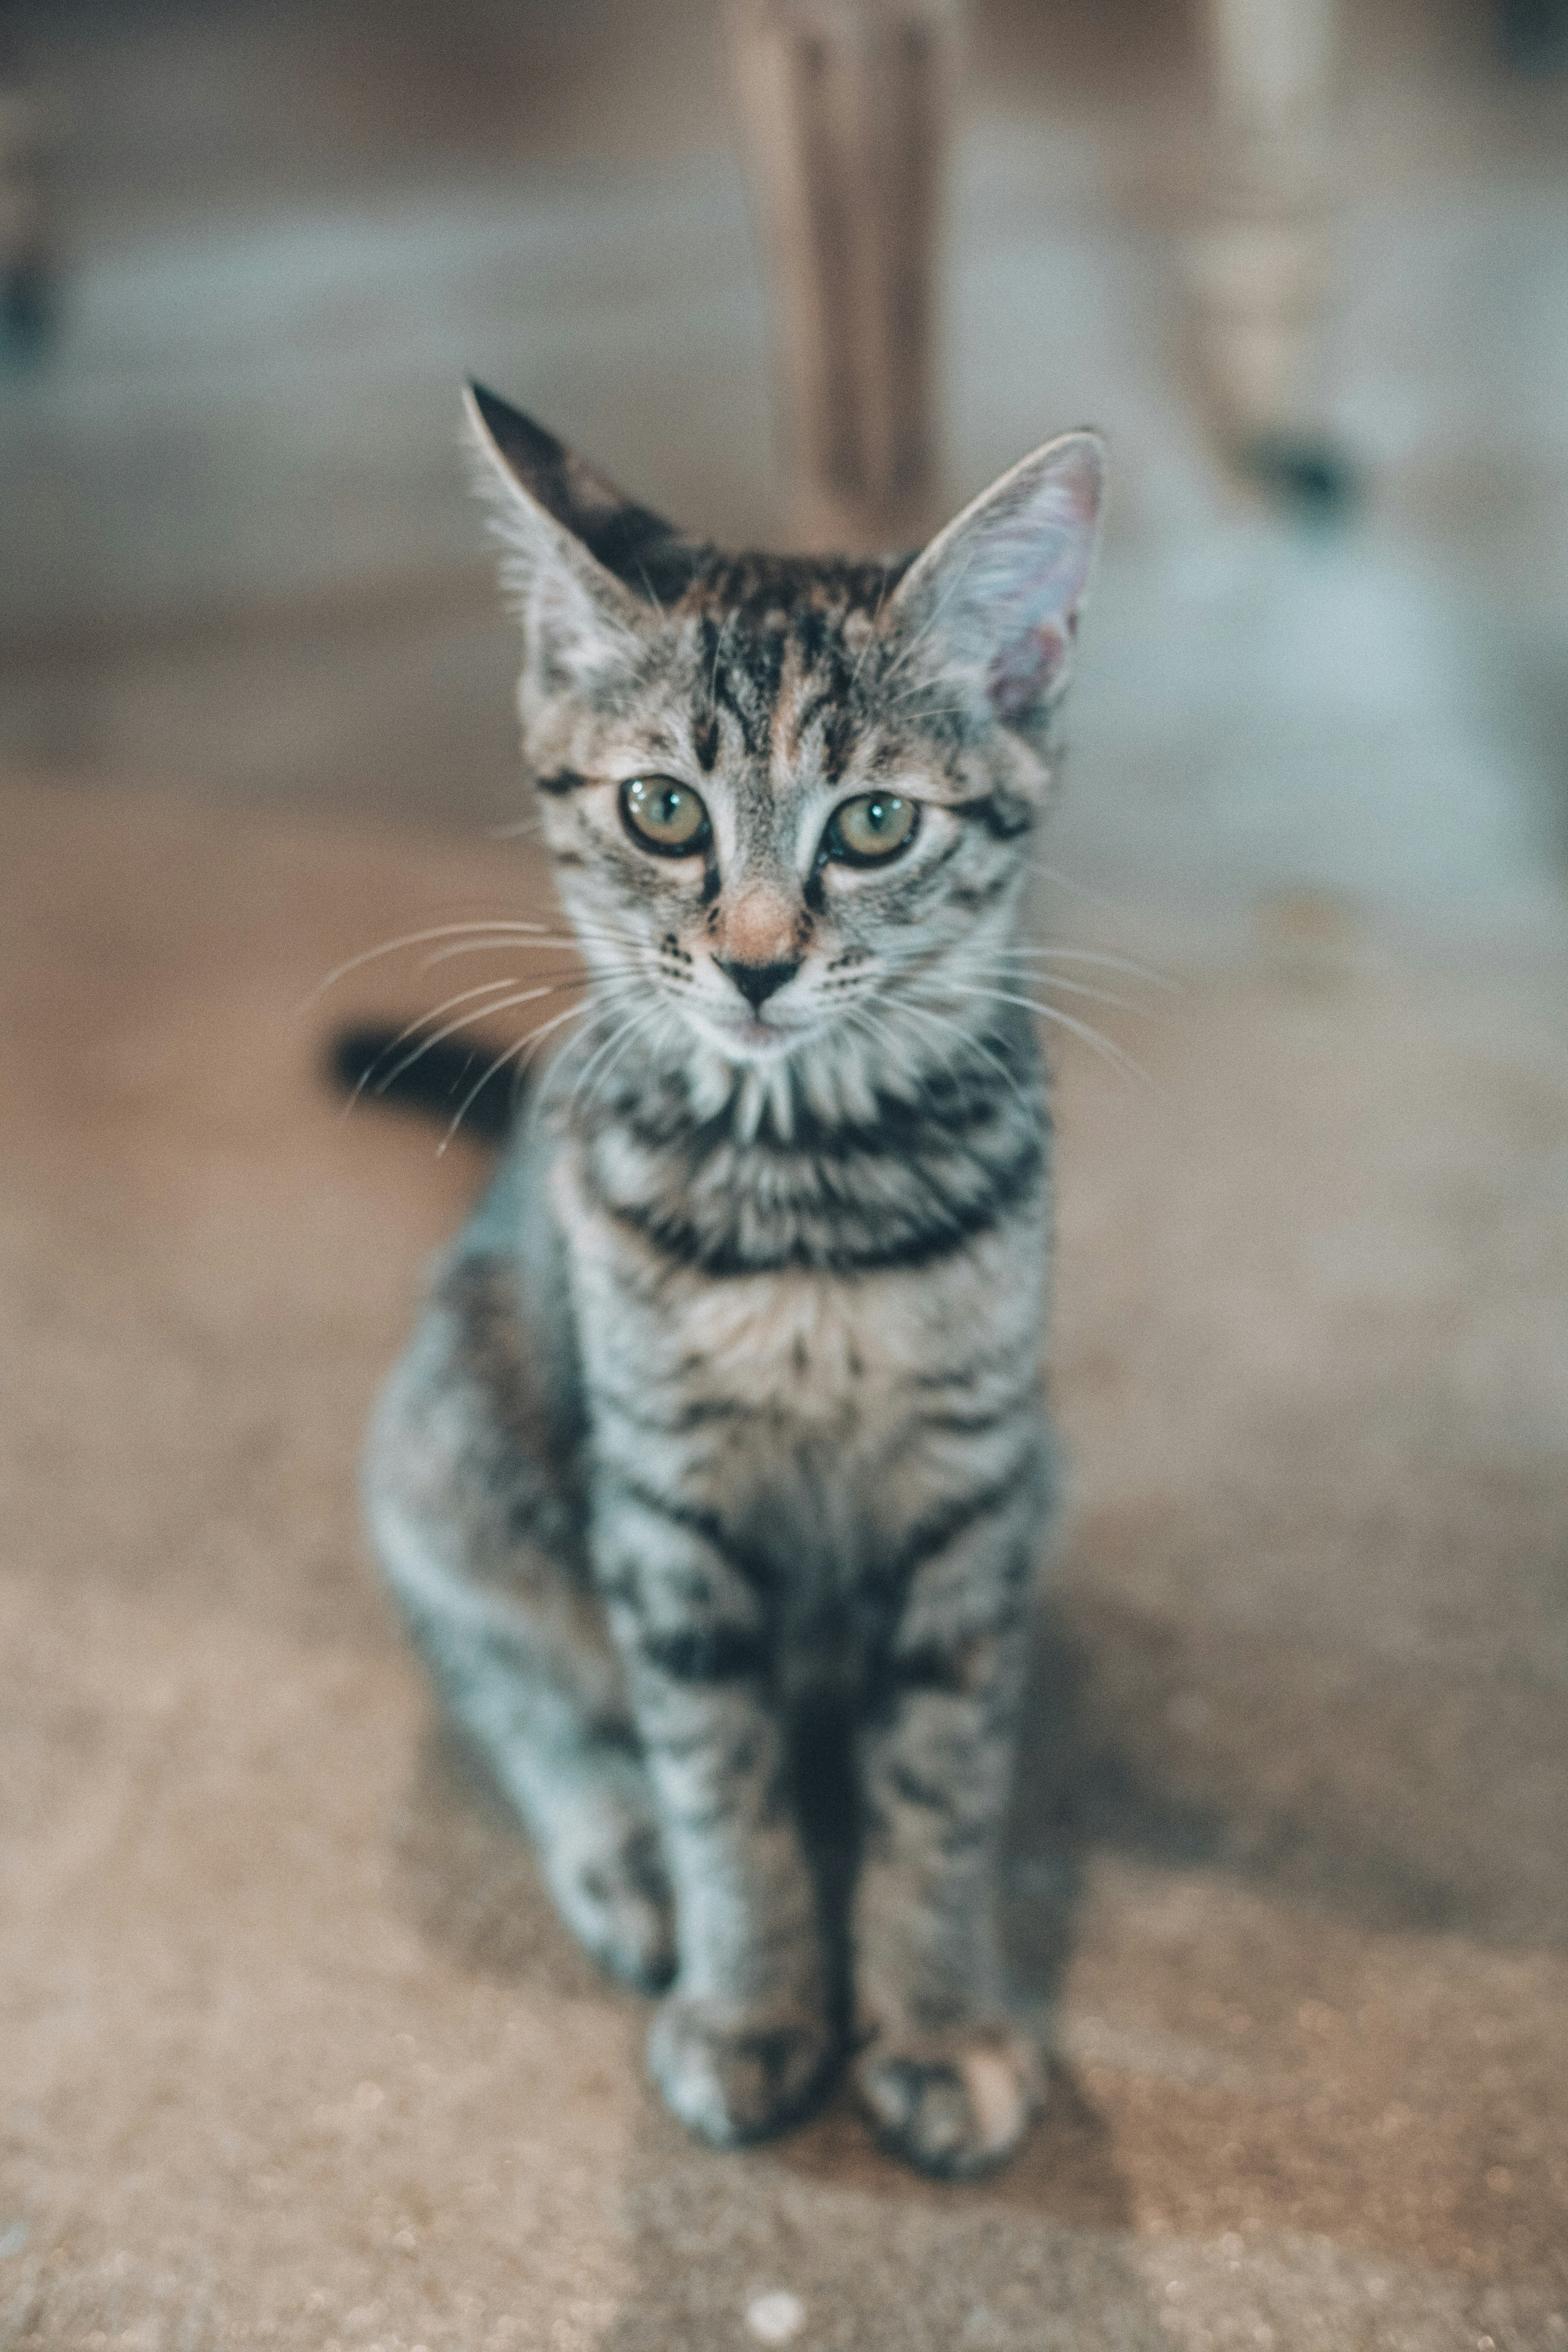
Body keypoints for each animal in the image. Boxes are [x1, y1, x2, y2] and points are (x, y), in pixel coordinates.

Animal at [364, 381, 1109, 2164]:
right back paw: (618, 1846)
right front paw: (755, 2001)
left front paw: (935, 2016)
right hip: (453, 1441)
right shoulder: (666, 1503)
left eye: (877, 823)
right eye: (663, 809)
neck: (807, 1192)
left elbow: (942, 1777)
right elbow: (722, 1780)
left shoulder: (971, 1484)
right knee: (500, 1668)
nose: (759, 964)